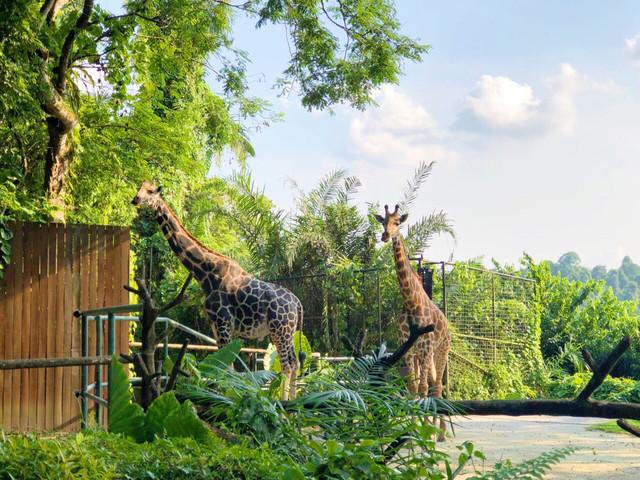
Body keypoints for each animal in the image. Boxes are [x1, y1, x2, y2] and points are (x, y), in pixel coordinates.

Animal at [132, 182, 302, 400]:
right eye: (140, 188)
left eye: (151, 192)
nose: (135, 199)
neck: (205, 274)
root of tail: (297, 303)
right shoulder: (215, 325)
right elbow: (222, 367)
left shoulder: (223, 322)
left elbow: (227, 368)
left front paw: (227, 398)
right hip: (286, 331)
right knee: (295, 361)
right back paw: (296, 399)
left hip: (281, 329)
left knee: (287, 363)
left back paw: (284, 401)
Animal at [376, 204, 450, 440]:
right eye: (383, 222)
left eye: (397, 222)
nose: (385, 235)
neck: (410, 302)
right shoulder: (408, 348)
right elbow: (413, 388)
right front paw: (411, 431)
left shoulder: (425, 347)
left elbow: (423, 388)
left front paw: (425, 431)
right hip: (427, 355)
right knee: (433, 384)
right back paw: (437, 429)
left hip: (441, 351)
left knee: (437, 386)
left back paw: (441, 432)